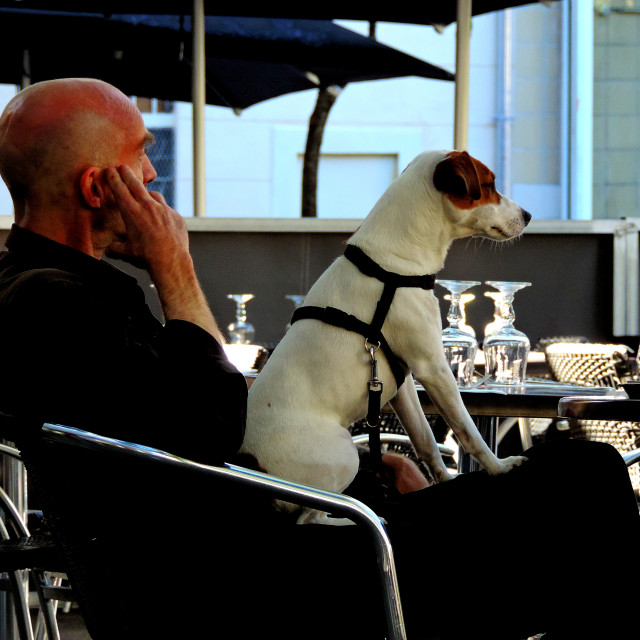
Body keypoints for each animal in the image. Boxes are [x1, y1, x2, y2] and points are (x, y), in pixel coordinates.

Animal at [240, 150, 528, 524]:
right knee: (310, 517)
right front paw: (499, 467)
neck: (392, 266)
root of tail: (250, 465)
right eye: (490, 184)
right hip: (344, 453)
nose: (528, 215)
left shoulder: (401, 382)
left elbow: (426, 441)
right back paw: (352, 518)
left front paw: (445, 481)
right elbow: (469, 431)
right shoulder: (433, 368)